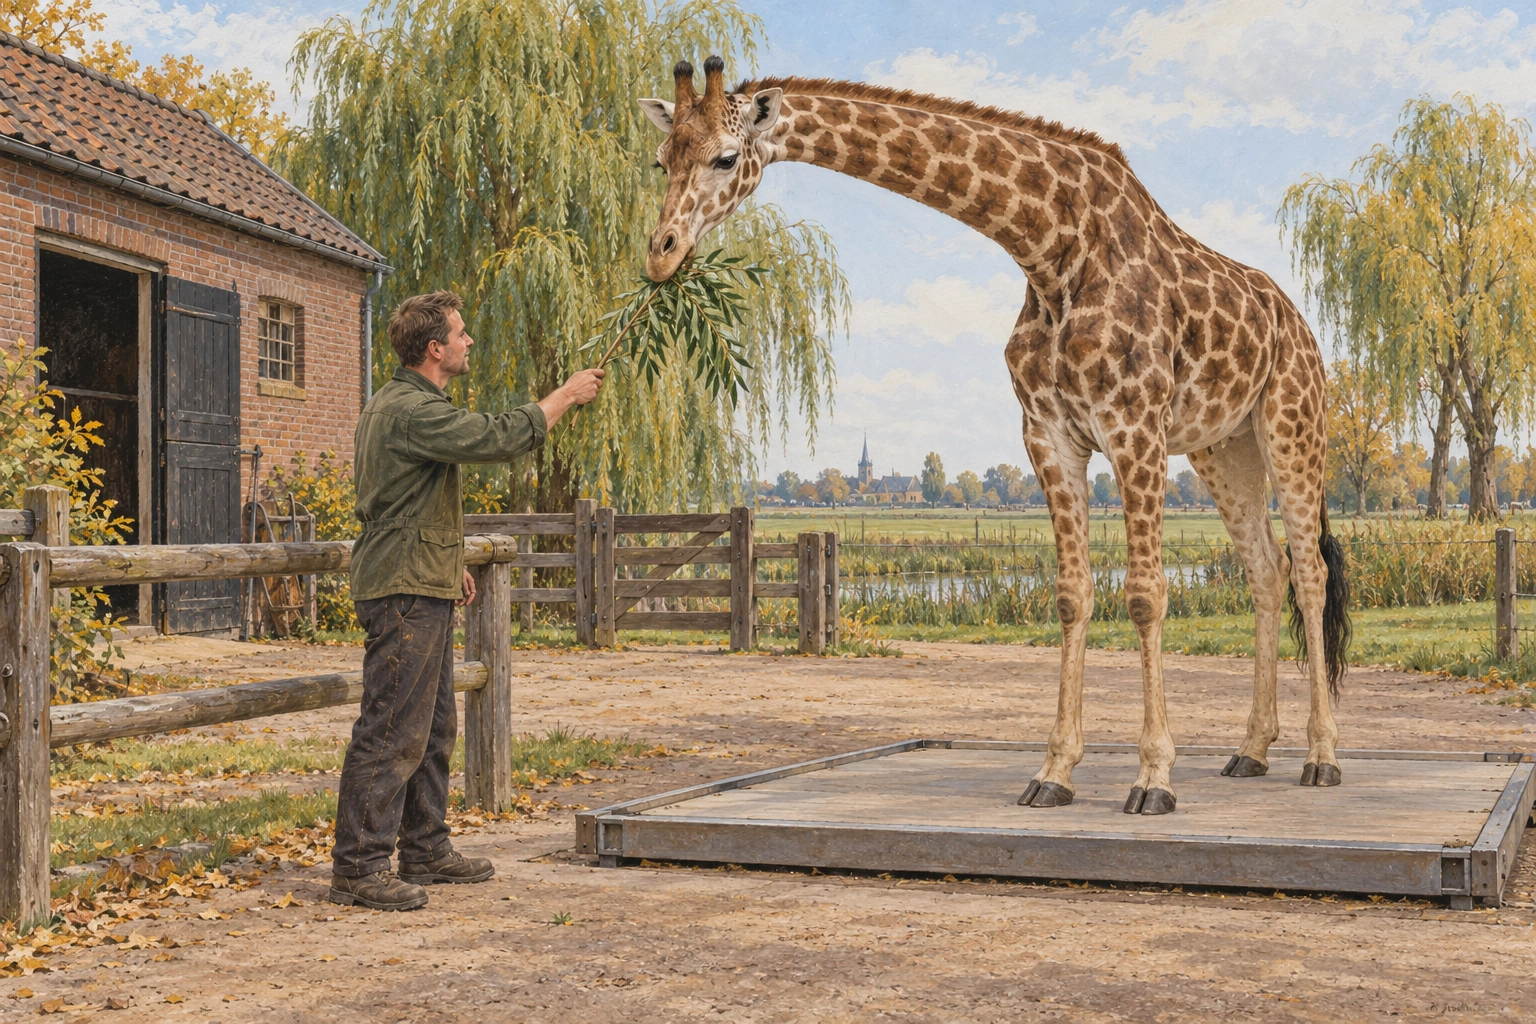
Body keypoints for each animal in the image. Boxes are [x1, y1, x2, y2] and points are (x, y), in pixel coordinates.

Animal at [639, 57, 1351, 814]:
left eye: (724, 156)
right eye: (661, 158)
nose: (660, 255)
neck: (1051, 250)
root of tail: (1301, 323)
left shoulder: (1133, 423)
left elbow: (1145, 593)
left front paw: (1154, 778)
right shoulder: (1049, 434)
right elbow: (1072, 593)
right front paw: (1053, 771)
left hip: (1292, 426)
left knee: (1310, 570)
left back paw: (1321, 758)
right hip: (1224, 448)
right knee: (1266, 570)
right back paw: (1251, 751)